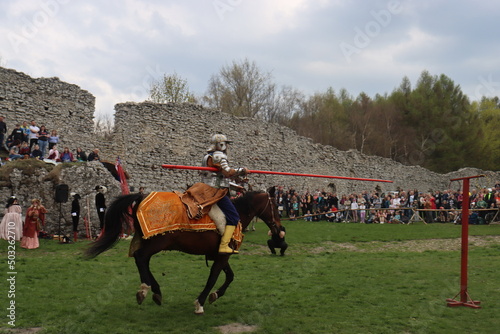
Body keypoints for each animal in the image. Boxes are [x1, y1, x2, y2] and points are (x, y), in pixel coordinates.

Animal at [85, 187, 282, 314]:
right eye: (275, 206)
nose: (279, 228)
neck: (238, 213)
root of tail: (141, 197)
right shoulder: (222, 256)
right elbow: (213, 279)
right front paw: (200, 303)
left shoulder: (220, 255)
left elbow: (230, 277)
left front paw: (215, 295)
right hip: (157, 242)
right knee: (141, 258)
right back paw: (145, 290)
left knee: (142, 260)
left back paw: (155, 292)